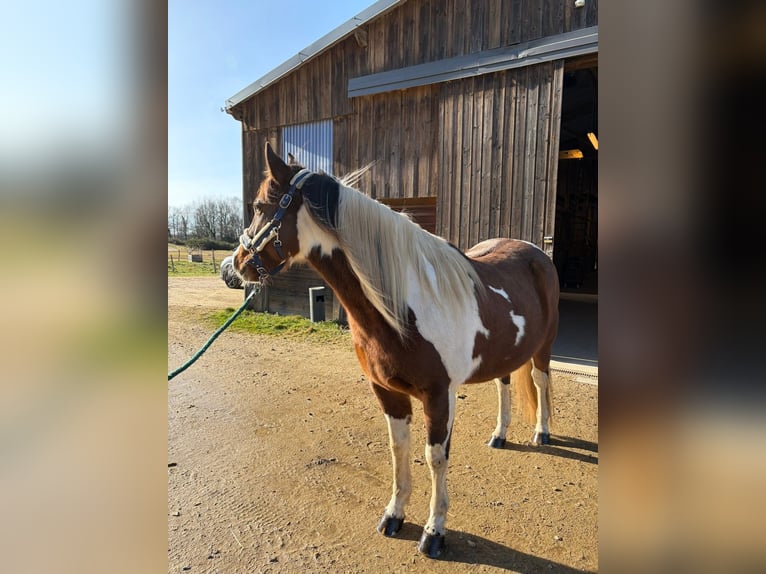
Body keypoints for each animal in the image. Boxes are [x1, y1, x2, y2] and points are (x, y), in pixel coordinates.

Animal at [230, 142, 560, 558]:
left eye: (260, 207)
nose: (233, 267)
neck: (404, 305)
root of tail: (536, 253)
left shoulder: (439, 395)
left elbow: (435, 457)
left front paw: (434, 532)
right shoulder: (387, 392)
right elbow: (398, 448)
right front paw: (394, 514)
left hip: (544, 346)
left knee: (541, 381)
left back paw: (542, 432)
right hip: (505, 353)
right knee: (504, 384)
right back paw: (500, 435)